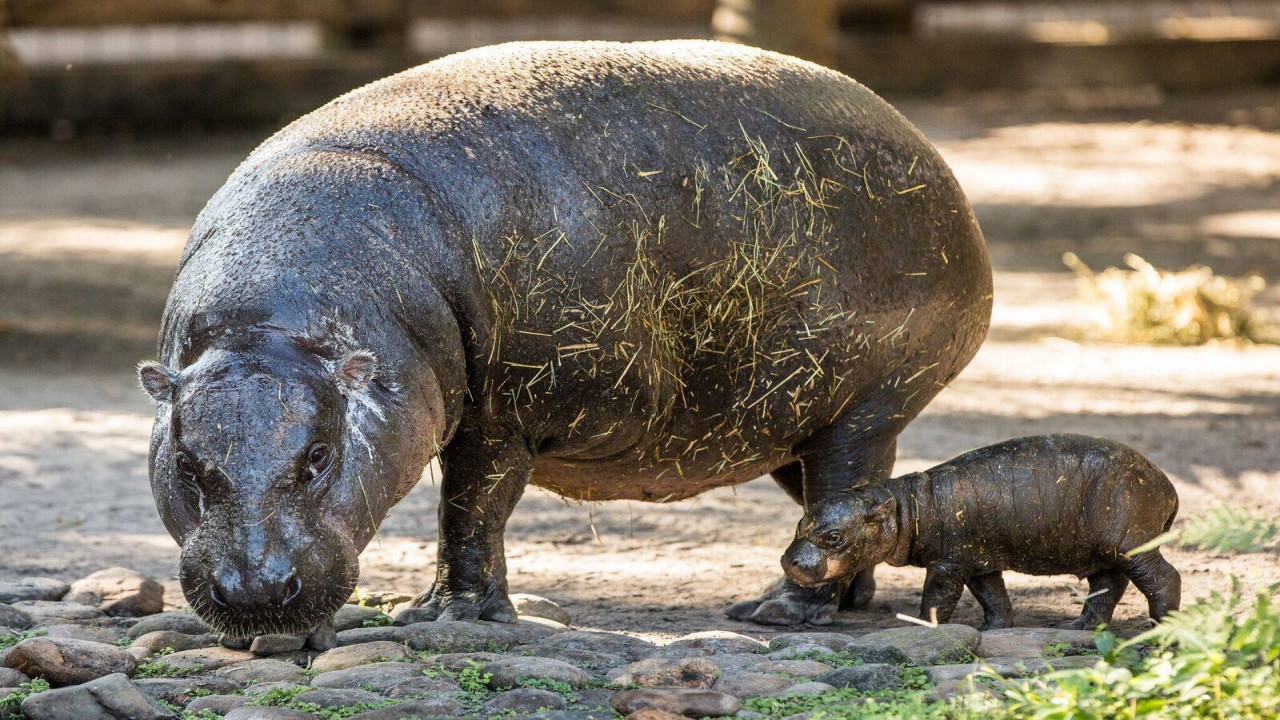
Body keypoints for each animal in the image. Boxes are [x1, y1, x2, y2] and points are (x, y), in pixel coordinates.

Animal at [137, 40, 992, 642]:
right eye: (187, 461)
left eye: (318, 457)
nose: (255, 593)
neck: (273, 321)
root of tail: (935, 163)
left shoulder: (501, 416)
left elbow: (470, 509)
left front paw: (446, 619)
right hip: (792, 420)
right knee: (842, 494)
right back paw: (847, 603)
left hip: (867, 403)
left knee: (842, 491)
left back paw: (775, 613)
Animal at [783, 434, 1181, 630]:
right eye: (800, 522)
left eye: (835, 536)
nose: (788, 561)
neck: (907, 506)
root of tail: (1168, 486)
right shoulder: (979, 563)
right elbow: (993, 597)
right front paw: (995, 629)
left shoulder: (948, 564)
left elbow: (938, 598)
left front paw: (920, 625)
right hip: (1103, 553)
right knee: (1107, 587)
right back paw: (1077, 626)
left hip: (1132, 543)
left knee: (1164, 578)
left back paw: (1160, 626)